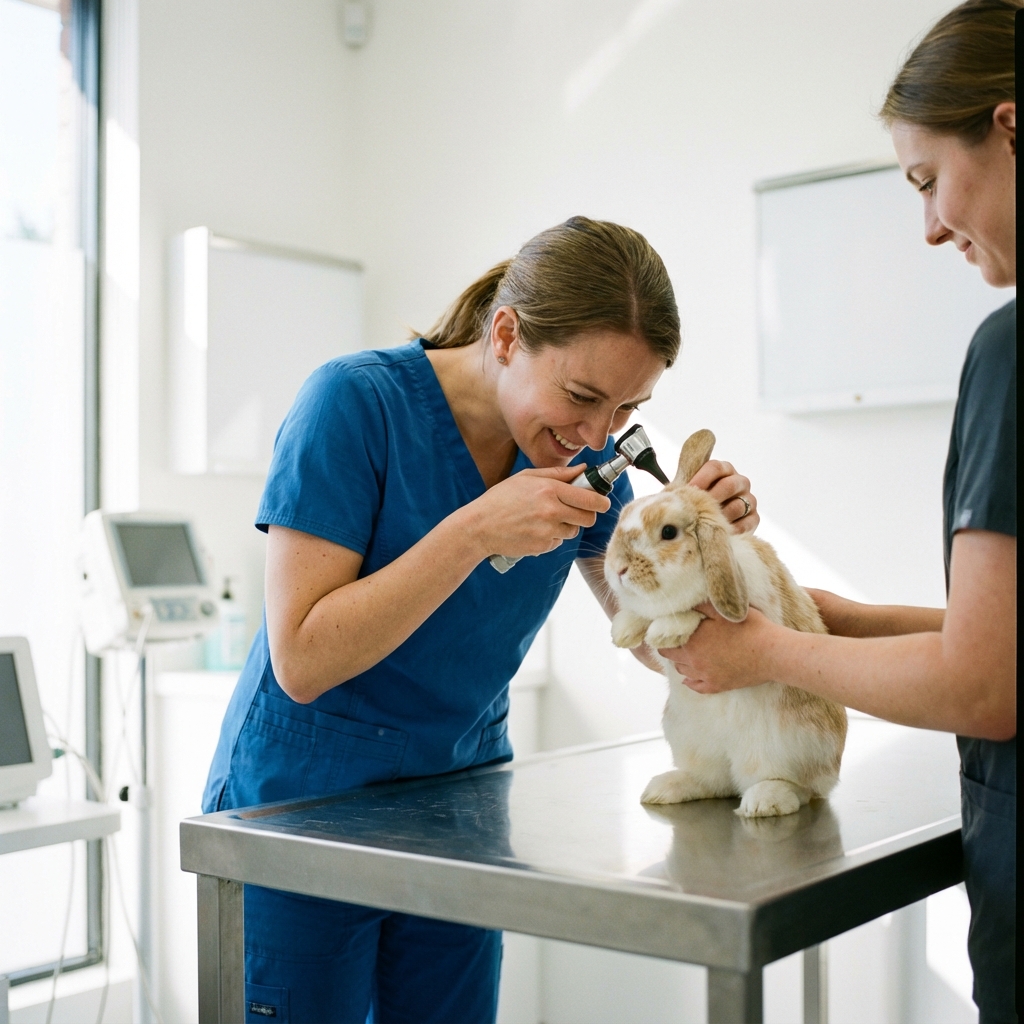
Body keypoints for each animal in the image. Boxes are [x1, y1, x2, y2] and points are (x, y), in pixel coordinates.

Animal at [604, 429, 847, 818]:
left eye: (668, 532)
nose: (618, 569)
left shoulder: (750, 600)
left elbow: (694, 610)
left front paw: (665, 630)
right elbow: (644, 612)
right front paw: (624, 630)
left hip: (789, 747)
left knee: (802, 788)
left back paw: (764, 801)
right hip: (690, 741)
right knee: (713, 783)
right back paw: (664, 788)